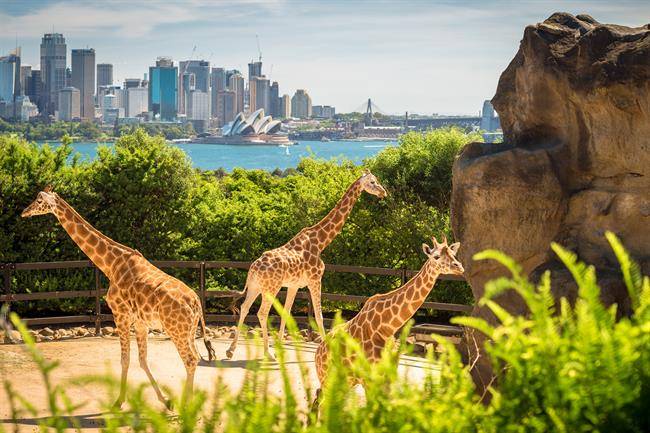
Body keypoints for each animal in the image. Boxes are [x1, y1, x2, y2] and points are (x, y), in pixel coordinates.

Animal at [20, 186, 215, 408]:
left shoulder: (120, 313)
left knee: (189, 359)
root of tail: (196, 302)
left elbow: (125, 359)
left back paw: (186, 407)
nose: (24, 212)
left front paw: (119, 402)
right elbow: (142, 360)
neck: (111, 266)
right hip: (189, 331)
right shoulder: (140, 321)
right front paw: (165, 401)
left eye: (39, 200)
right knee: (196, 357)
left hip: (176, 330)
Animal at [227, 169, 384, 358]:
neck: (321, 242)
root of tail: (253, 269)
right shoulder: (315, 280)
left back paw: (231, 350)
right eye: (373, 182)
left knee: (244, 308)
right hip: (271, 288)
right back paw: (266, 353)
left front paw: (280, 348)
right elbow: (319, 315)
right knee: (262, 312)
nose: (383, 192)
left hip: (255, 286)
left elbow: (287, 312)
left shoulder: (294, 285)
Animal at [312, 235, 460, 394]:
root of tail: (317, 352)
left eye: (453, 254)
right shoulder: (368, 379)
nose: (459, 267)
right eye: (436, 256)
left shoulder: (388, 376)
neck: (386, 327)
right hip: (328, 379)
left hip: (346, 381)